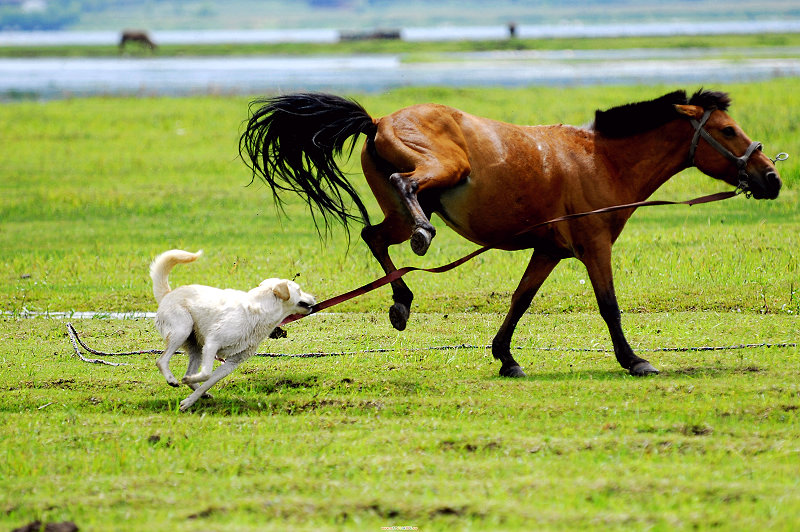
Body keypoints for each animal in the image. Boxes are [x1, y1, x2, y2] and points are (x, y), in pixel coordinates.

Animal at [150, 249, 316, 412]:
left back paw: (199, 391)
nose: (314, 297)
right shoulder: (212, 343)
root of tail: (168, 293)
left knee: (189, 372)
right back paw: (172, 379)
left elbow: (208, 382)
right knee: (161, 360)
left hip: (196, 348)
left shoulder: (232, 363)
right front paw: (187, 387)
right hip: (183, 330)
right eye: (299, 290)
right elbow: (206, 373)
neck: (260, 311)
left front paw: (189, 401)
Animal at [242, 89, 780, 376]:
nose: (771, 178)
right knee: (403, 188)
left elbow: (520, 301)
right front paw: (633, 360)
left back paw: (402, 301)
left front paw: (505, 357)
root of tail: (377, 120)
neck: (600, 160)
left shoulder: (548, 251)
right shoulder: (594, 248)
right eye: (728, 131)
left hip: (398, 211)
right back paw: (422, 235)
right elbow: (609, 306)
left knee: (375, 236)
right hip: (440, 170)